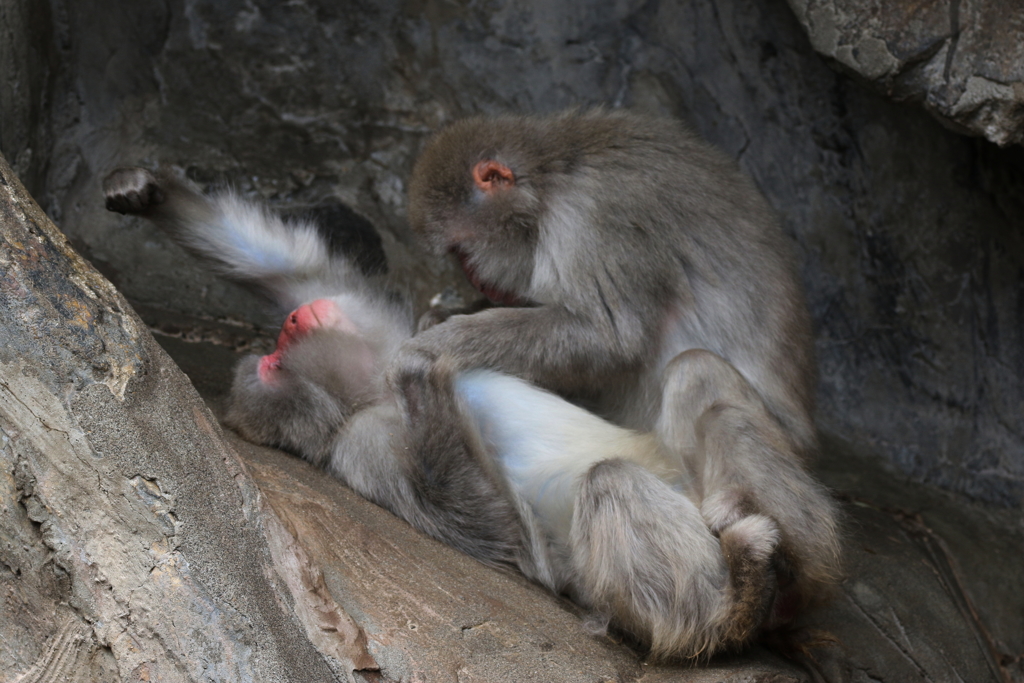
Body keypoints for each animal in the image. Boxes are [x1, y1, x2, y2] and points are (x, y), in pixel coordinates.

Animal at [99, 153, 827, 655]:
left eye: (281, 337)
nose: (295, 324)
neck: (367, 386)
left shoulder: (371, 320)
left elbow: (283, 266)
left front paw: (144, 190)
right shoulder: (368, 445)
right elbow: (499, 529)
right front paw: (423, 375)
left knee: (698, 377)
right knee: (613, 486)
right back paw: (737, 607)